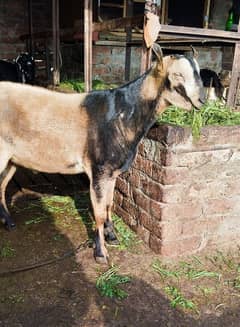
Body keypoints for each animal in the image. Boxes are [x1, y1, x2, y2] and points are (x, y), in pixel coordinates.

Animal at [0, 43, 204, 264]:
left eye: (199, 72)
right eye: (178, 74)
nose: (201, 100)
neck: (123, 114)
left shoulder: (112, 172)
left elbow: (108, 205)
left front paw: (112, 235)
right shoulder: (99, 169)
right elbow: (98, 212)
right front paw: (101, 253)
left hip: (12, 159)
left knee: (1, 186)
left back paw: (8, 221)